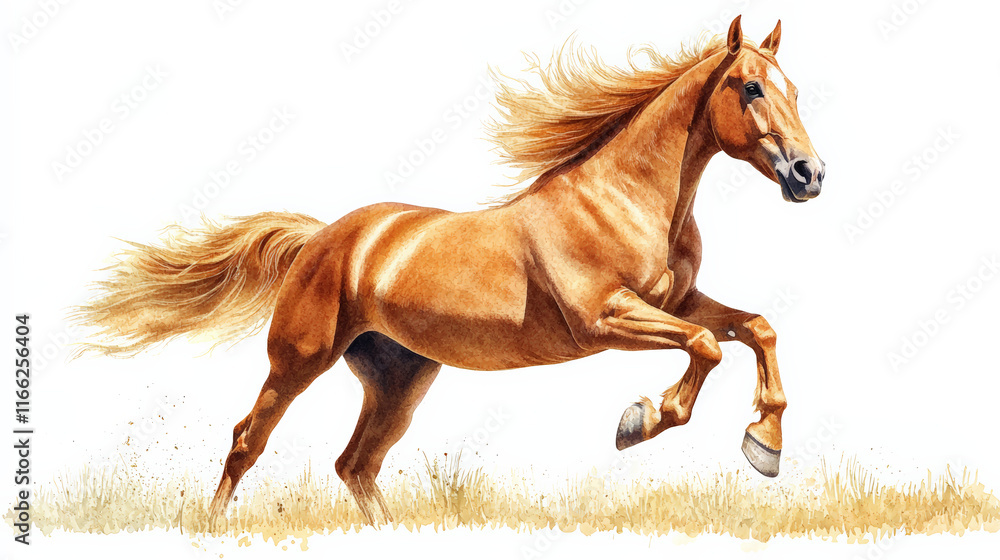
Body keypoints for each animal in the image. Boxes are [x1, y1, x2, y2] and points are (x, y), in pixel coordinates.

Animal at [73, 16, 824, 526]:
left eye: (796, 89)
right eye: (751, 88)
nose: (809, 175)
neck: (623, 199)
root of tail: (326, 240)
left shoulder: (681, 301)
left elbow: (756, 329)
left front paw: (763, 445)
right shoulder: (605, 318)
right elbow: (705, 349)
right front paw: (641, 419)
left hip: (400, 379)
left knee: (356, 463)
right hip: (299, 359)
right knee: (247, 440)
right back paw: (210, 528)